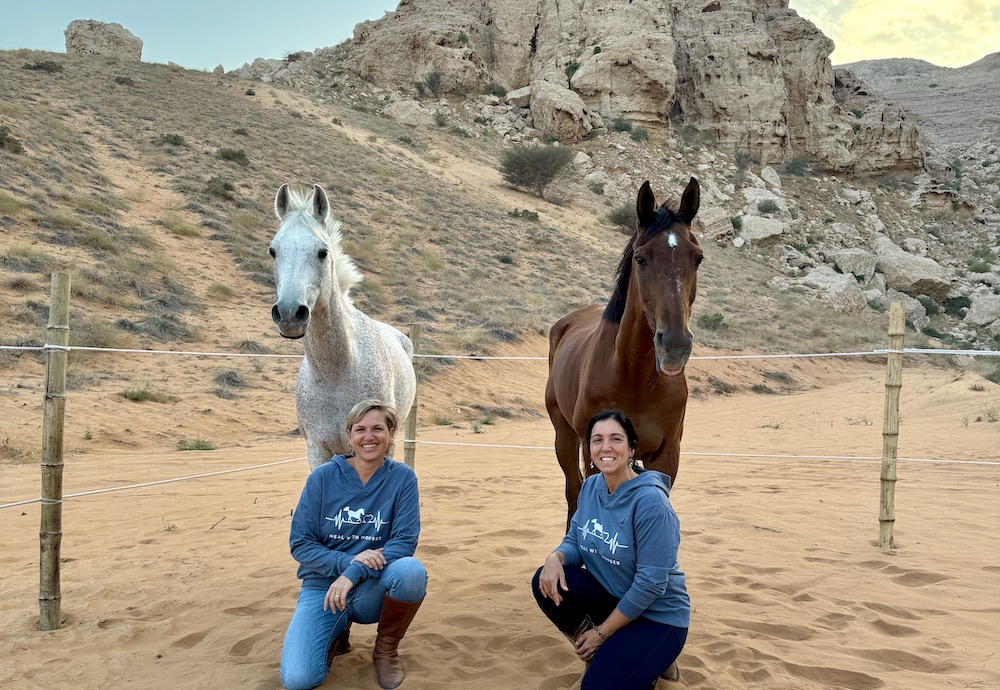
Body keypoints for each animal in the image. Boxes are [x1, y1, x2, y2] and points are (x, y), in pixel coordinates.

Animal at [545, 178, 702, 526]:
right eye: (641, 258)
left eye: (697, 257)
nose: (675, 346)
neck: (634, 379)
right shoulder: (593, 452)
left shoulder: (667, 456)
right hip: (564, 437)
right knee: (573, 492)